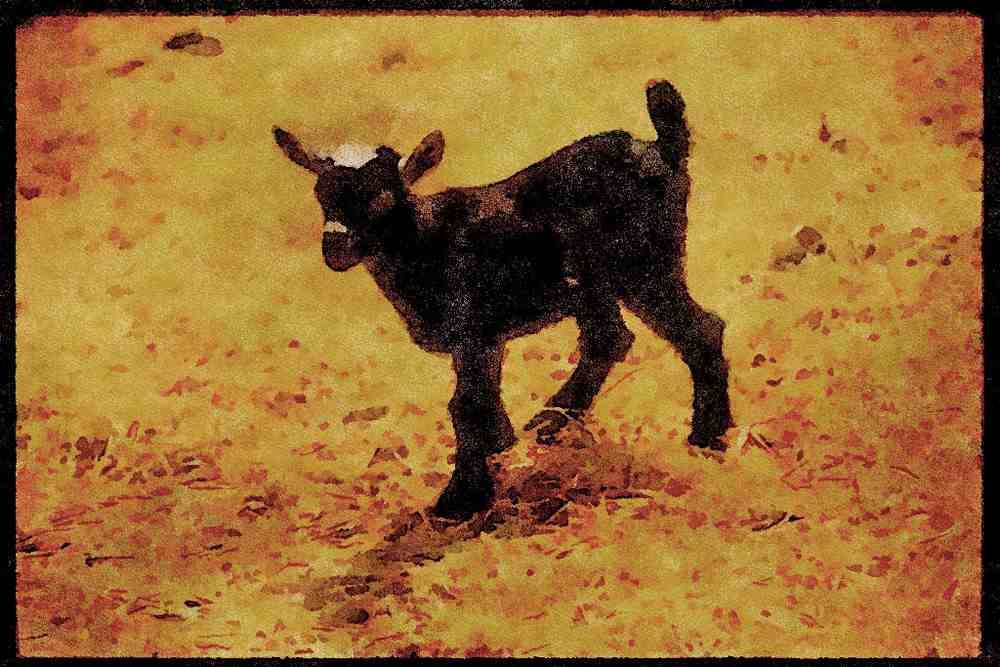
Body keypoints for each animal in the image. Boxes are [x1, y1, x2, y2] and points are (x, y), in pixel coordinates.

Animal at [273, 80, 732, 521]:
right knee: (610, 338)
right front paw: (500, 446)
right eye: (320, 194)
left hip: (643, 265)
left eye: (383, 197)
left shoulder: (473, 332)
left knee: (698, 329)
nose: (335, 247)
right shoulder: (487, 340)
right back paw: (555, 419)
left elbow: (465, 406)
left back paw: (709, 434)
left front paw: (461, 498)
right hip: (595, 283)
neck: (426, 240)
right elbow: (481, 401)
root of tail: (663, 148)